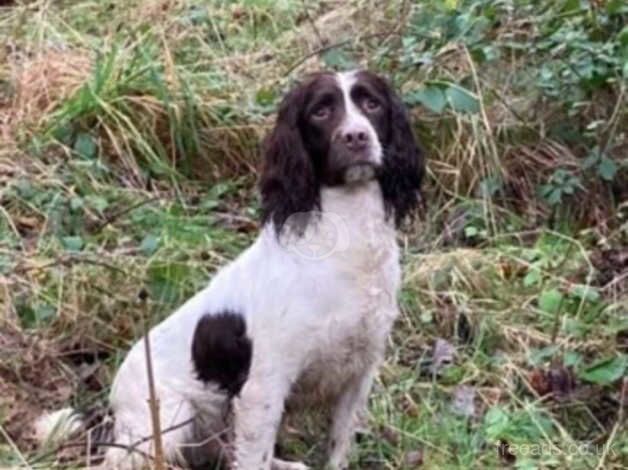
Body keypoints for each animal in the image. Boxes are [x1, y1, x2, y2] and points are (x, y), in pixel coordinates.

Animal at [36, 68, 424, 468]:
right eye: (321, 111)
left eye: (372, 104)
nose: (356, 137)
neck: (348, 237)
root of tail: (112, 409)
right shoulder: (264, 385)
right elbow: (255, 455)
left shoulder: (360, 372)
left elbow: (338, 447)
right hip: (170, 418)